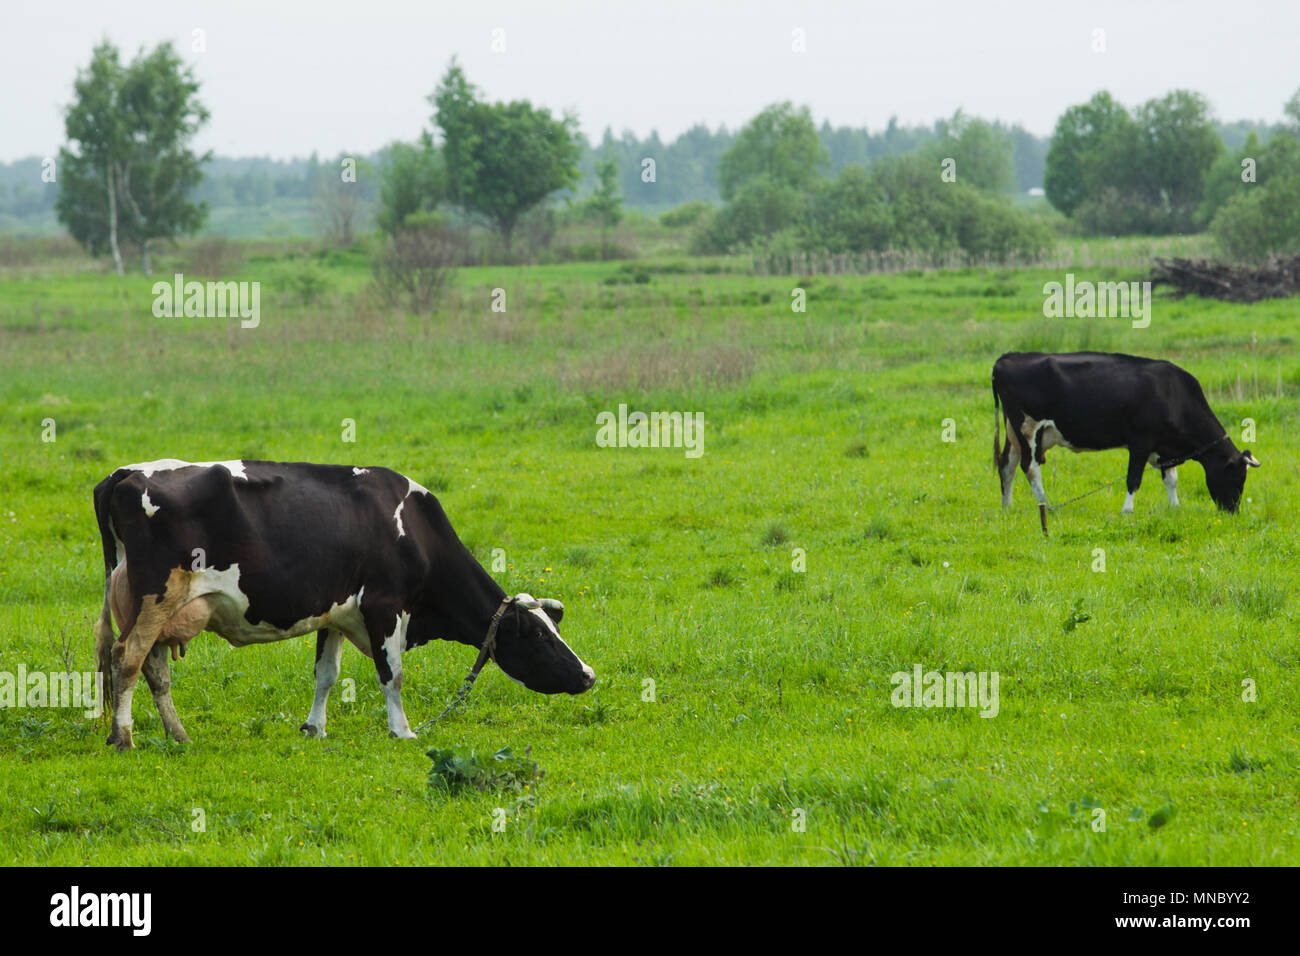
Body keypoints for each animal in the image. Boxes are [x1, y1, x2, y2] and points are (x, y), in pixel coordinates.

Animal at [92, 459, 595, 751]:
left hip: (152, 605)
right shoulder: (385, 607)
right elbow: (392, 674)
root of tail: (125, 474)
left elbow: (326, 674)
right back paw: (123, 737)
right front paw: (402, 730)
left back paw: (177, 735)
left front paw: (314, 729)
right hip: (157, 596)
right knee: (127, 657)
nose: (588, 675)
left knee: (152, 668)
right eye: (538, 636)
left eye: (554, 628)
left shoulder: (334, 612)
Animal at [992, 352, 1260, 532]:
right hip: (1027, 427)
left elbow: (1171, 480)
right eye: (1238, 478)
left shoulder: (1164, 448)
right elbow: (1134, 479)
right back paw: (1046, 505)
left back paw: (1007, 506)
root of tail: (1008, 357)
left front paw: (1175, 508)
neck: (1173, 394)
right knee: (1030, 468)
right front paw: (1127, 511)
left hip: (1015, 432)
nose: (1233, 512)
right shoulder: (1140, 442)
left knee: (1007, 465)